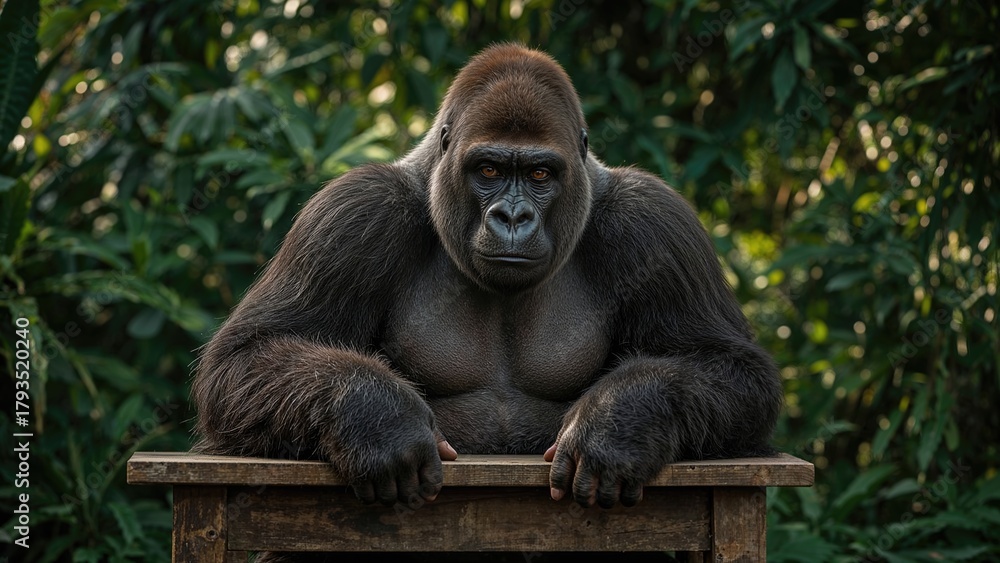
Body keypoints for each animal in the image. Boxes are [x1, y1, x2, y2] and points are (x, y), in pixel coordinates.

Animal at [192, 43, 782, 558]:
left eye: (540, 174)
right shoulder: (354, 212)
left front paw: (620, 422)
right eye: (490, 170)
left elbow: (734, 370)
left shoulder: (655, 222)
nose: (513, 217)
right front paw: (376, 418)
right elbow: (245, 358)